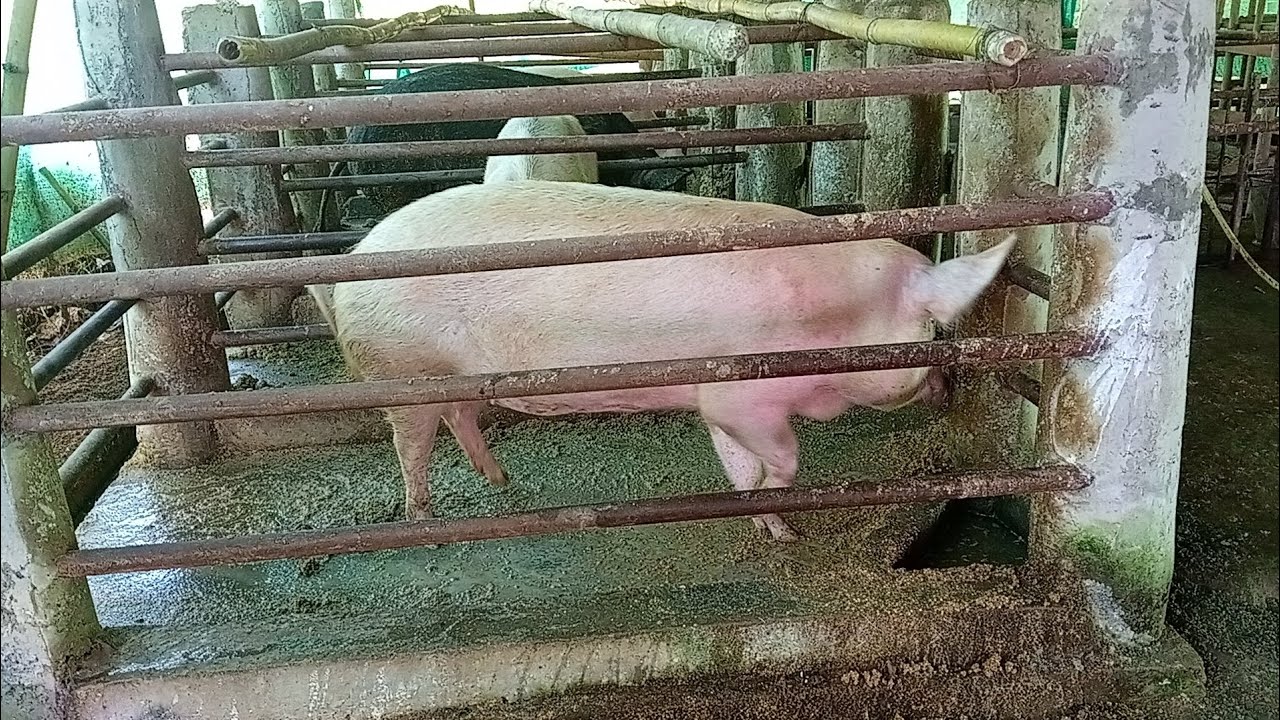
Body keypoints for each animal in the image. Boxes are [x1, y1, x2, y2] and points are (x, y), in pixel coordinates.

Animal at [308, 181, 1014, 541]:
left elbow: (737, 458)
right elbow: (782, 456)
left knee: (459, 417)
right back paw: (427, 521)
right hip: (400, 363)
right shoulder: (741, 391)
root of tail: (354, 261)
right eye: (935, 330)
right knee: (412, 444)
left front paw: (769, 523)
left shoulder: (716, 395)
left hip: (450, 376)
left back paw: (500, 482)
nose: (948, 385)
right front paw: (779, 508)